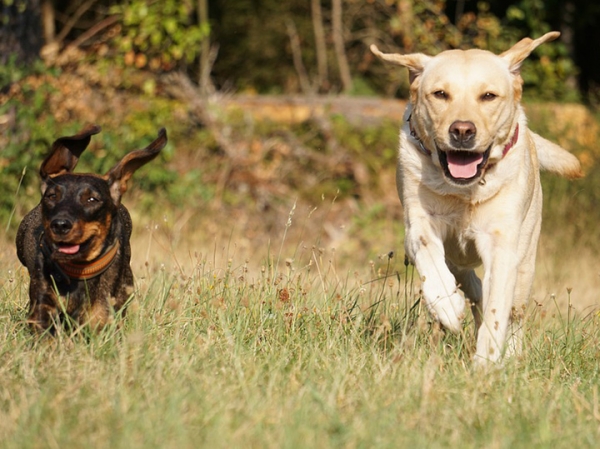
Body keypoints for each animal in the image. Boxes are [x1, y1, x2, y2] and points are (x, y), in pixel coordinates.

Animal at [370, 32, 580, 364]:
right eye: (440, 94)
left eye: (488, 96)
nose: (462, 130)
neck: (463, 191)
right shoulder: (417, 226)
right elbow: (429, 258)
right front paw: (446, 305)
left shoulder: (502, 246)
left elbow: (497, 311)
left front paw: (486, 363)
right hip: (457, 256)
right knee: (470, 282)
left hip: (525, 261)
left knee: (514, 313)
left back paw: (511, 356)